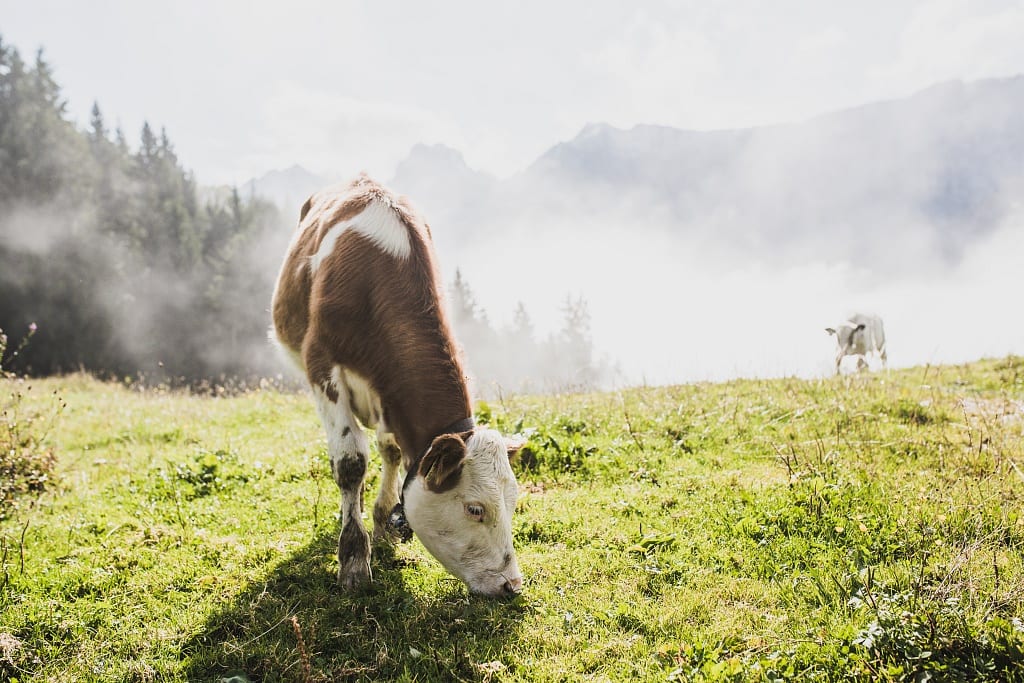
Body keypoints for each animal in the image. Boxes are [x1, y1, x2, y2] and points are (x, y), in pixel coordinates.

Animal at [272, 174, 524, 593]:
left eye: (513, 502)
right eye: (475, 508)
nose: (511, 584)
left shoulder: (389, 398)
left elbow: (389, 451)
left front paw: (381, 519)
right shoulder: (321, 365)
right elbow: (350, 461)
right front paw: (354, 560)